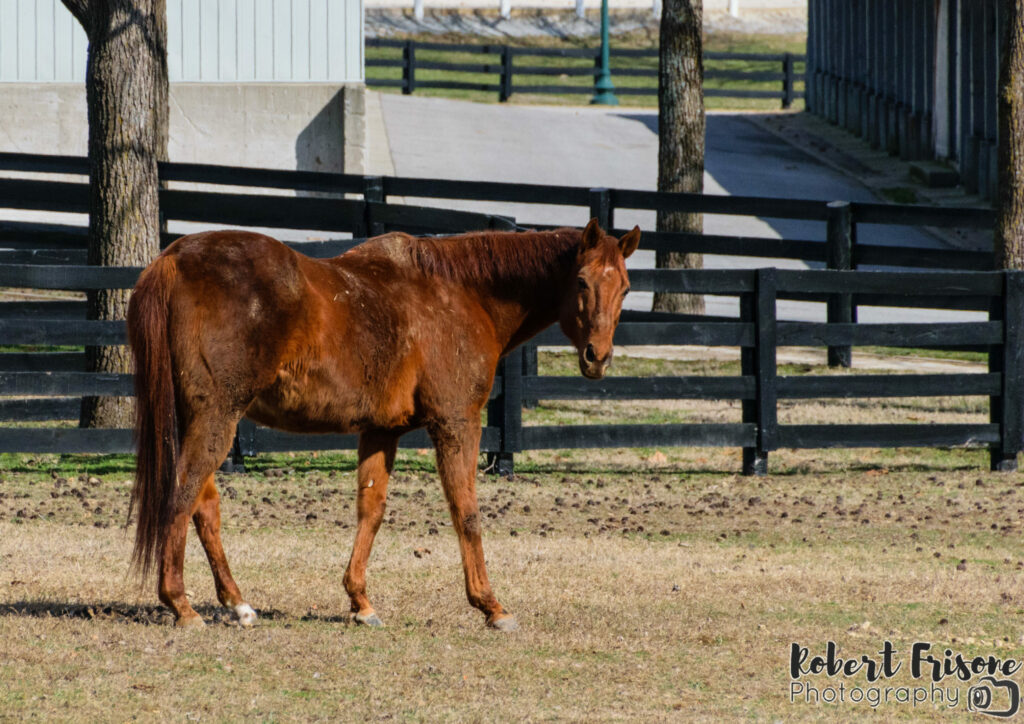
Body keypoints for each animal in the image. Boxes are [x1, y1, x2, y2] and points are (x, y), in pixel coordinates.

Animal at [125, 218, 638, 630]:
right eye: (581, 281)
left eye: (627, 287)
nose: (598, 357)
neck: (461, 293)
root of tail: (173, 258)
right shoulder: (456, 424)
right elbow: (466, 512)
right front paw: (491, 606)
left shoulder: (380, 431)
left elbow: (370, 510)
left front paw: (361, 602)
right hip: (217, 417)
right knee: (182, 496)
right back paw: (181, 605)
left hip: (205, 418)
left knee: (204, 506)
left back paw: (238, 604)